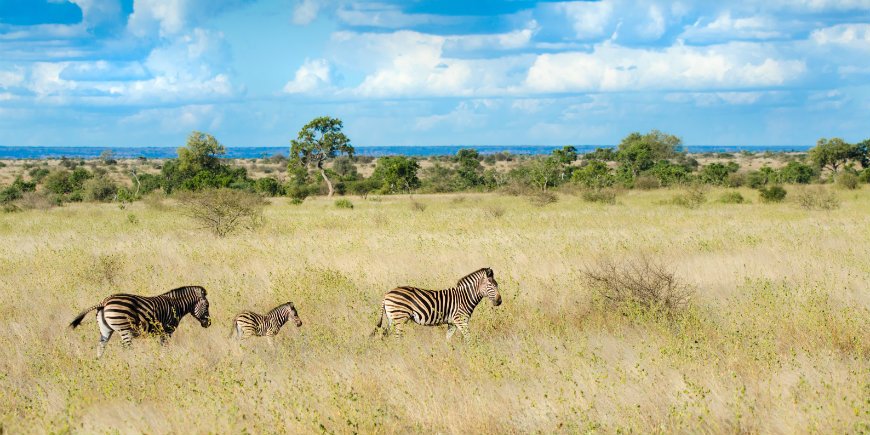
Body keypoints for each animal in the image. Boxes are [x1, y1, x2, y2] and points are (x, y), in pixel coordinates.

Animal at [70, 286, 213, 358]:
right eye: (207, 305)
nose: (208, 324)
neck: (176, 306)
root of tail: (104, 302)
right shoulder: (167, 330)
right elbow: (165, 348)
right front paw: (164, 360)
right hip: (124, 329)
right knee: (127, 350)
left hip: (105, 329)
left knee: (100, 347)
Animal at [372, 266, 504, 340]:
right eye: (491, 285)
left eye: (497, 285)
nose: (499, 301)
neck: (465, 297)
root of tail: (387, 294)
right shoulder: (460, 320)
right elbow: (469, 339)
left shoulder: (452, 323)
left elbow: (447, 340)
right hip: (400, 317)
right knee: (398, 338)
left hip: (392, 318)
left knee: (384, 335)